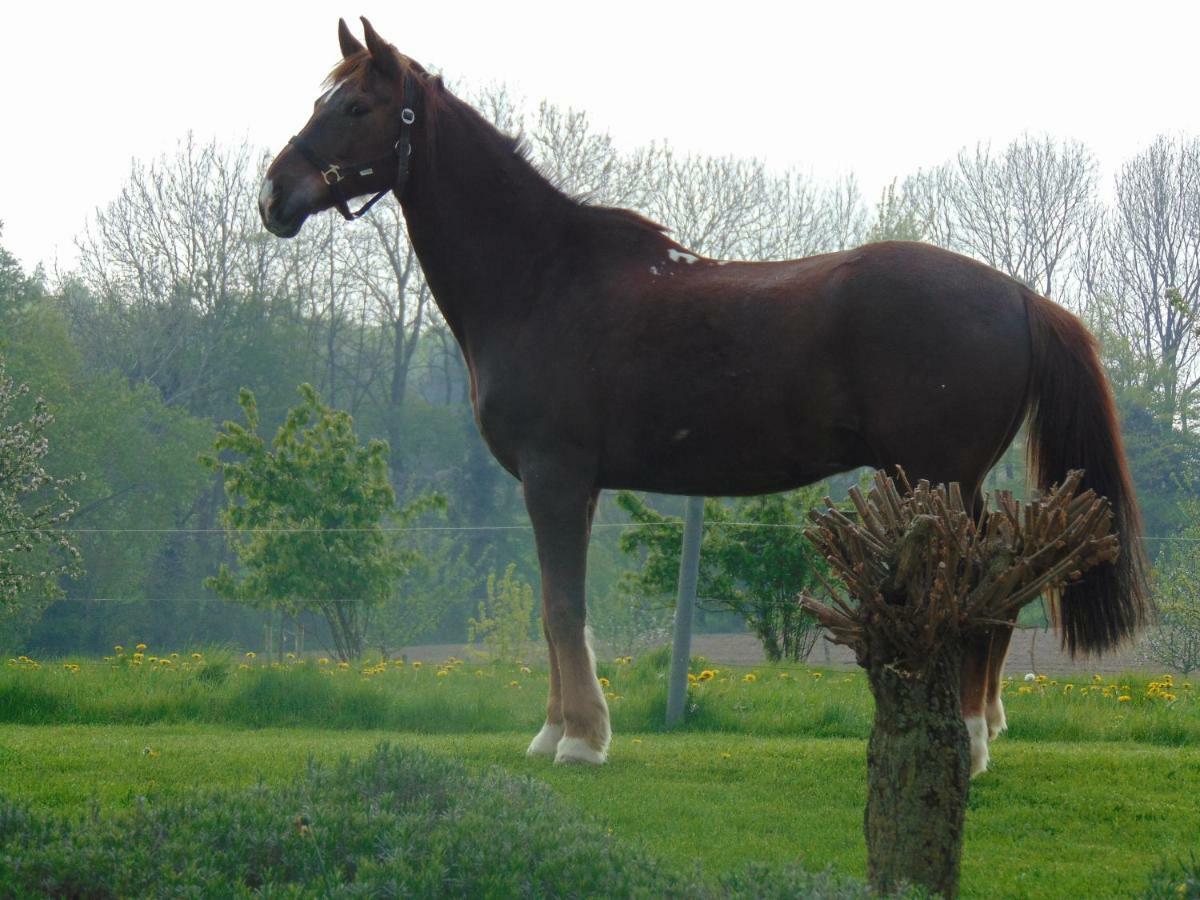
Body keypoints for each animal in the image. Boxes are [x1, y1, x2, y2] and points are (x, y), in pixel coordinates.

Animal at [258, 19, 1147, 777]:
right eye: (321, 101)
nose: (274, 196)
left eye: (358, 106)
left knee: (977, 584)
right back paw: (981, 724)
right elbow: (556, 608)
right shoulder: (576, 488)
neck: (541, 277)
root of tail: (1019, 295)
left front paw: (581, 740)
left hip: (935, 477)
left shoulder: (554, 477)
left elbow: (562, 608)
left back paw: (967, 735)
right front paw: (554, 731)